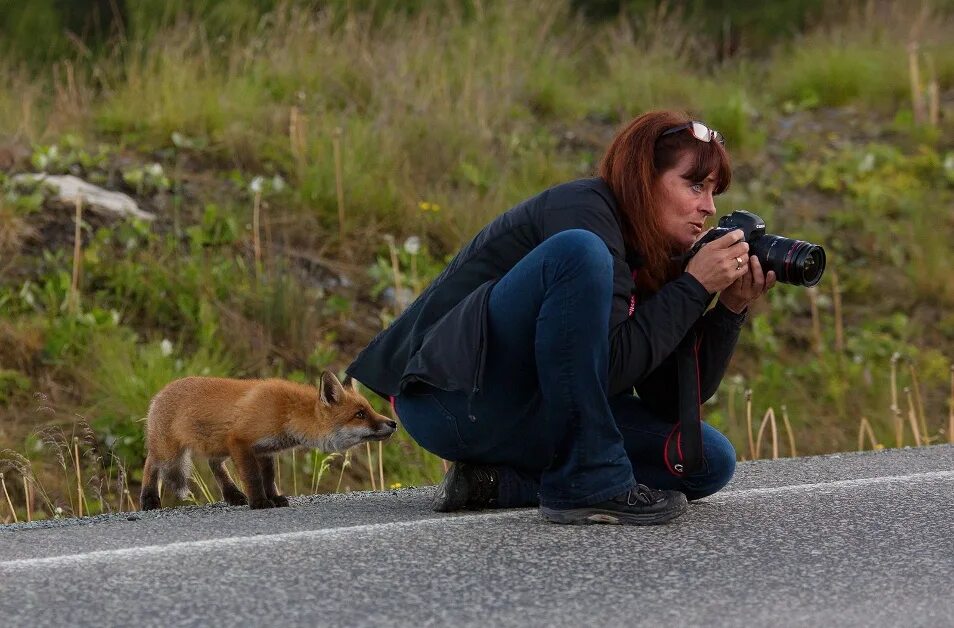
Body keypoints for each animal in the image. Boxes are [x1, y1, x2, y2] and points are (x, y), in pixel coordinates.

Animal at [138, 372, 394, 510]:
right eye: (359, 414)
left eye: (369, 409)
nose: (393, 423)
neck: (286, 413)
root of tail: (160, 392)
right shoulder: (240, 441)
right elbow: (253, 477)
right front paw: (260, 501)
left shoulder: (265, 450)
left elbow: (269, 478)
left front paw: (273, 497)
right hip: (169, 452)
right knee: (151, 464)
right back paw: (149, 499)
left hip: (217, 446)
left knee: (215, 465)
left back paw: (233, 495)